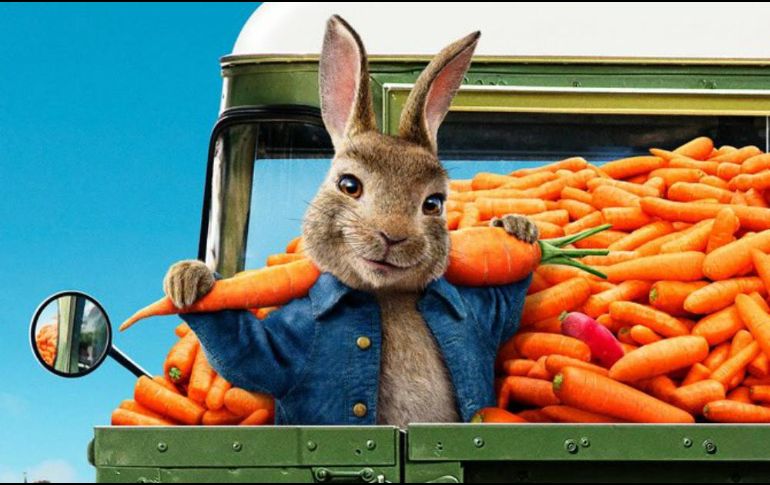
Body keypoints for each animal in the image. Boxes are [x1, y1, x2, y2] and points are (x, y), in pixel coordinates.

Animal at [164, 15, 538, 428]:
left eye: (434, 203)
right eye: (348, 185)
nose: (393, 236)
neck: (388, 296)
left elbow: (504, 308)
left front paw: (516, 227)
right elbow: (251, 355)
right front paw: (189, 279)